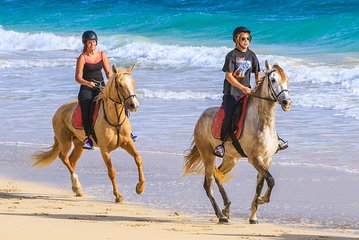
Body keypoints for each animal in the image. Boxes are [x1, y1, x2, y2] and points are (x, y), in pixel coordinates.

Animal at [32, 64, 145, 202]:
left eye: (133, 82)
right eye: (120, 84)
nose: (134, 105)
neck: (115, 119)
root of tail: (58, 111)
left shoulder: (127, 142)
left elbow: (138, 159)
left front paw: (140, 188)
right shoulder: (104, 149)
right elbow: (111, 171)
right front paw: (118, 196)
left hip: (79, 144)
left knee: (72, 161)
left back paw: (77, 190)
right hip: (65, 142)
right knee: (64, 157)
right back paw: (77, 186)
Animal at [186, 60, 292, 223]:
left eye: (286, 80)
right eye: (273, 80)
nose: (287, 102)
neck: (263, 122)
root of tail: (201, 116)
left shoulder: (267, 159)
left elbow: (261, 185)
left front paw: (254, 216)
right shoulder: (255, 158)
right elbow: (271, 180)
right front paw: (262, 200)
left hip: (231, 159)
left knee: (218, 175)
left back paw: (226, 208)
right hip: (208, 156)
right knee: (208, 184)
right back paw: (221, 215)